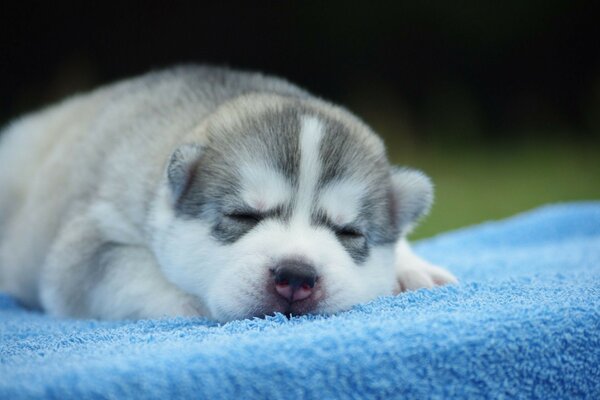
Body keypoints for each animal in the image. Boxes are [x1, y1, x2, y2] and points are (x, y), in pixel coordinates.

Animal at [0, 66, 454, 322]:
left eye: (349, 233)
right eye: (242, 217)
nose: (296, 276)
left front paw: (411, 267)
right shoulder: (88, 244)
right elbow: (132, 274)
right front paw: (196, 304)